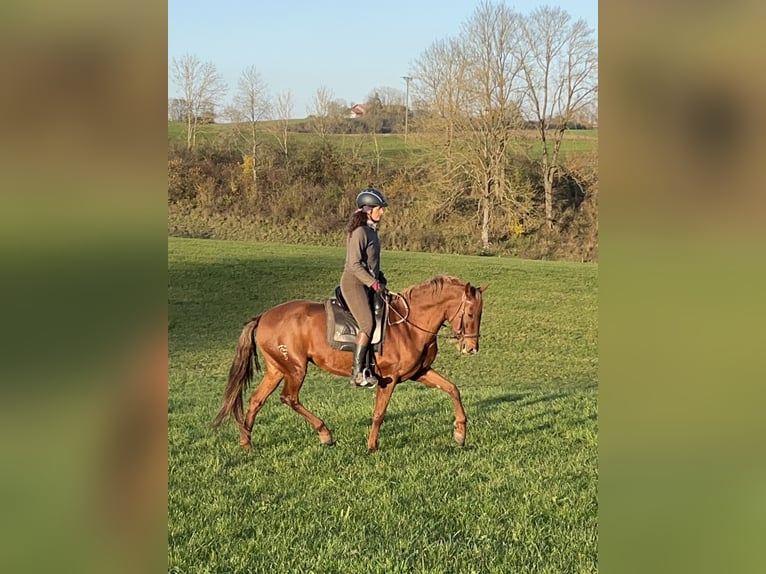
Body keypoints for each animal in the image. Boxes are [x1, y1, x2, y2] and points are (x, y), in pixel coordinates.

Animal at [213, 276, 488, 452]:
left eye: (479, 314)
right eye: (470, 314)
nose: (472, 348)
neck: (409, 326)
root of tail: (264, 316)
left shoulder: (420, 372)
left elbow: (452, 389)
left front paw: (460, 433)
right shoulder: (389, 379)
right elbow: (379, 413)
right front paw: (372, 446)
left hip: (277, 370)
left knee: (256, 400)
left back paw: (247, 442)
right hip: (295, 369)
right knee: (289, 398)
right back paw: (325, 434)